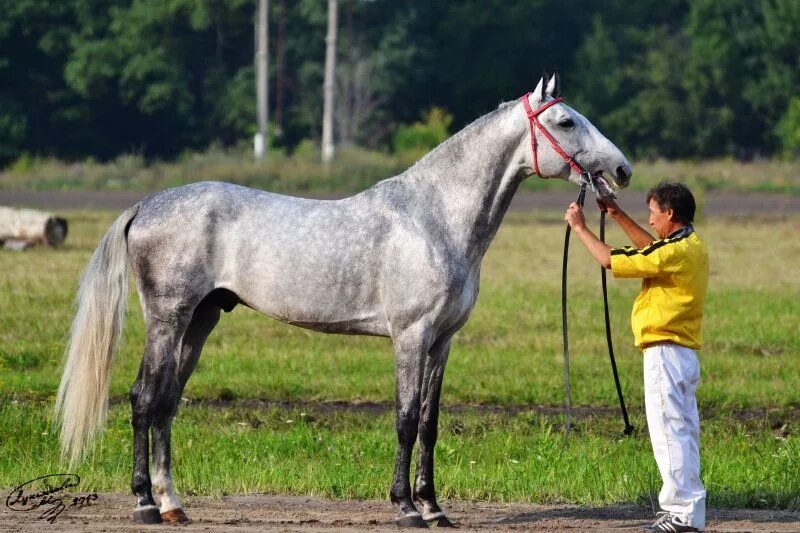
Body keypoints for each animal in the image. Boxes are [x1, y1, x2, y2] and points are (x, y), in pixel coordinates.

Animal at [56, 75, 632, 528]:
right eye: (565, 122)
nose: (622, 170)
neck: (435, 219)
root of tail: (147, 205)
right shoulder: (411, 337)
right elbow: (405, 418)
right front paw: (406, 508)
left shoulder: (442, 342)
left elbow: (429, 424)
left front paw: (435, 508)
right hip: (167, 318)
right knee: (144, 399)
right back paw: (144, 505)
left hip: (201, 320)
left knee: (167, 404)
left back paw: (173, 504)